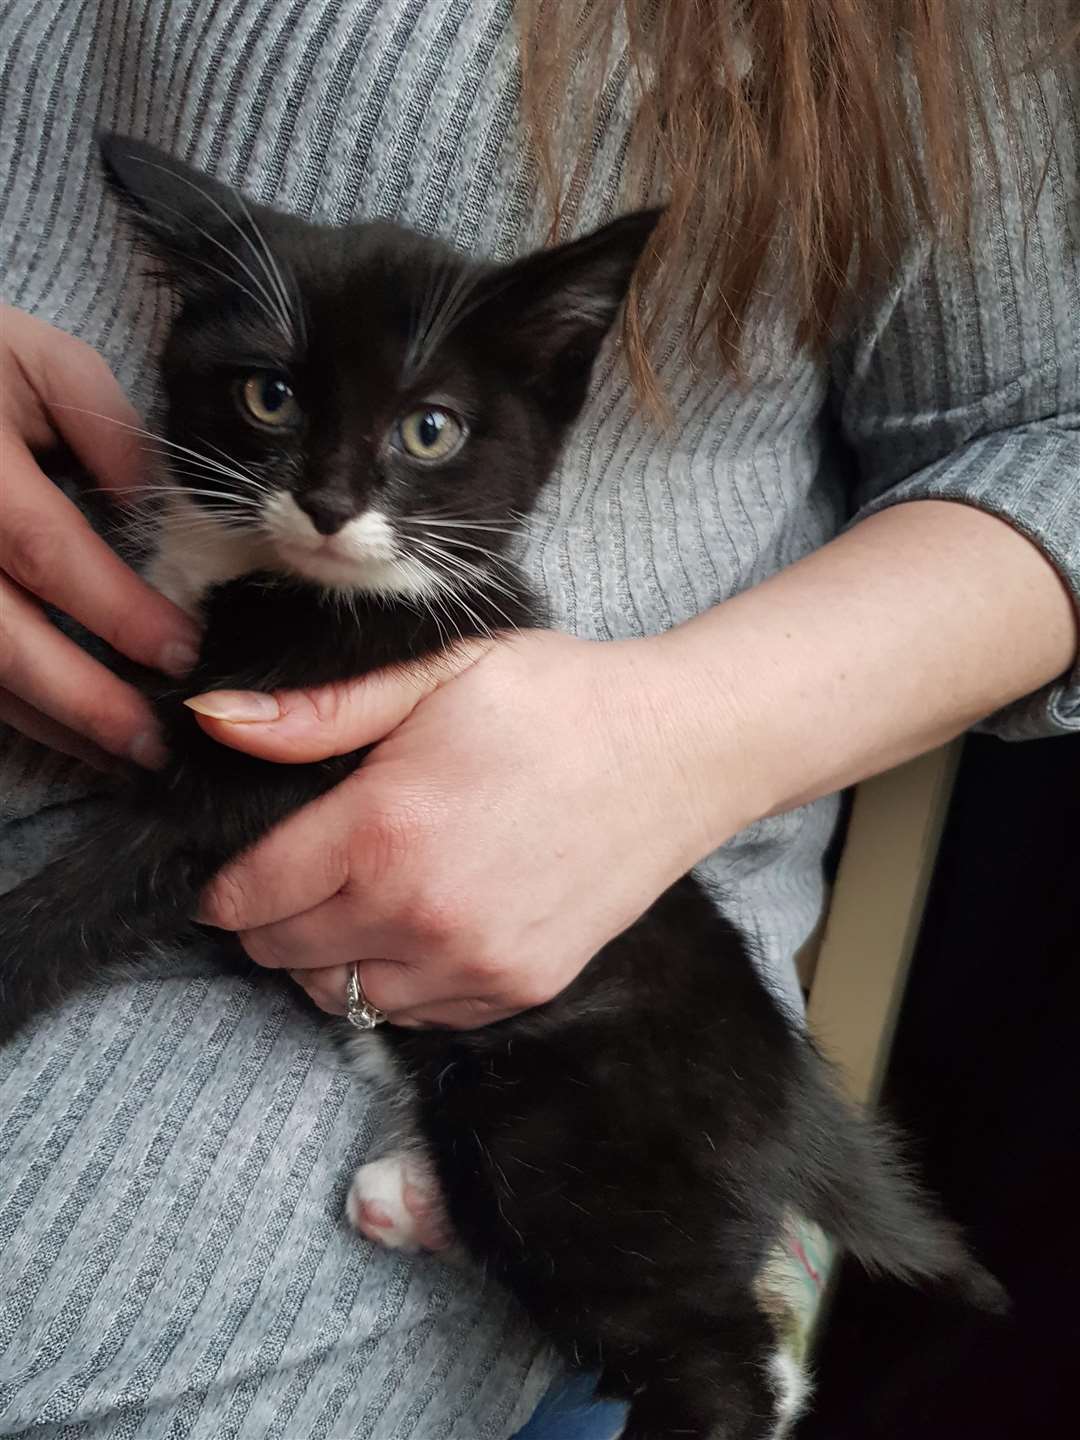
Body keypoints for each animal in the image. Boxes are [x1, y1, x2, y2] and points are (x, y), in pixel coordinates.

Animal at [0, 135, 1008, 1440]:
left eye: (429, 430)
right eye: (268, 396)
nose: (330, 500)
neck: (299, 581)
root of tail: (795, 1098)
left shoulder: (272, 760)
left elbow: (110, 875)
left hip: (574, 1125)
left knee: (725, 1356)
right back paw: (405, 1196)